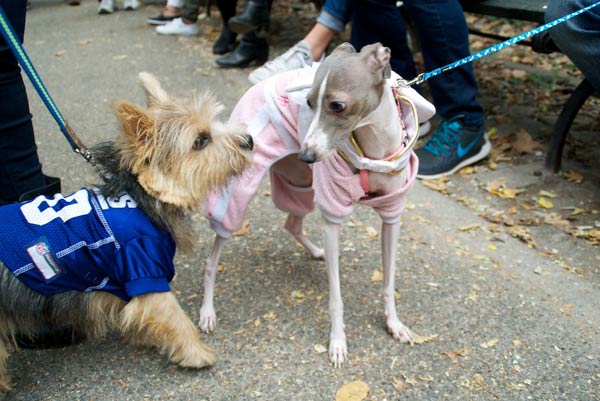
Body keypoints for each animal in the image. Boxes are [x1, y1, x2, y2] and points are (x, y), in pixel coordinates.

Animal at [0, 72, 253, 390]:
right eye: (200, 140)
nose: (249, 140)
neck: (143, 196)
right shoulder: (144, 270)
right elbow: (176, 317)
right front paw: (196, 354)